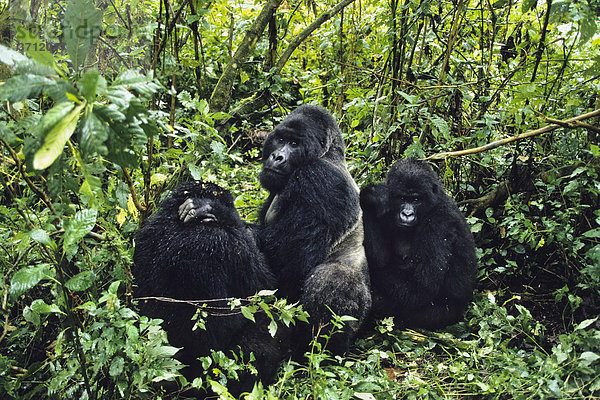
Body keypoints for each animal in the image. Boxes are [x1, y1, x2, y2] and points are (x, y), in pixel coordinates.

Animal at [256, 105, 370, 354]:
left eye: (294, 144)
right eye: (280, 139)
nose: (277, 157)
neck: (327, 154)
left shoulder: (320, 180)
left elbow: (287, 261)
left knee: (331, 279)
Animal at [358, 158, 476, 330]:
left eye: (416, 200)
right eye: (402, 198)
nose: (407, 214)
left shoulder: (439, 222)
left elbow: (421, 287)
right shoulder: (387, 210)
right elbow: (380, 258)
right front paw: (370, 197)